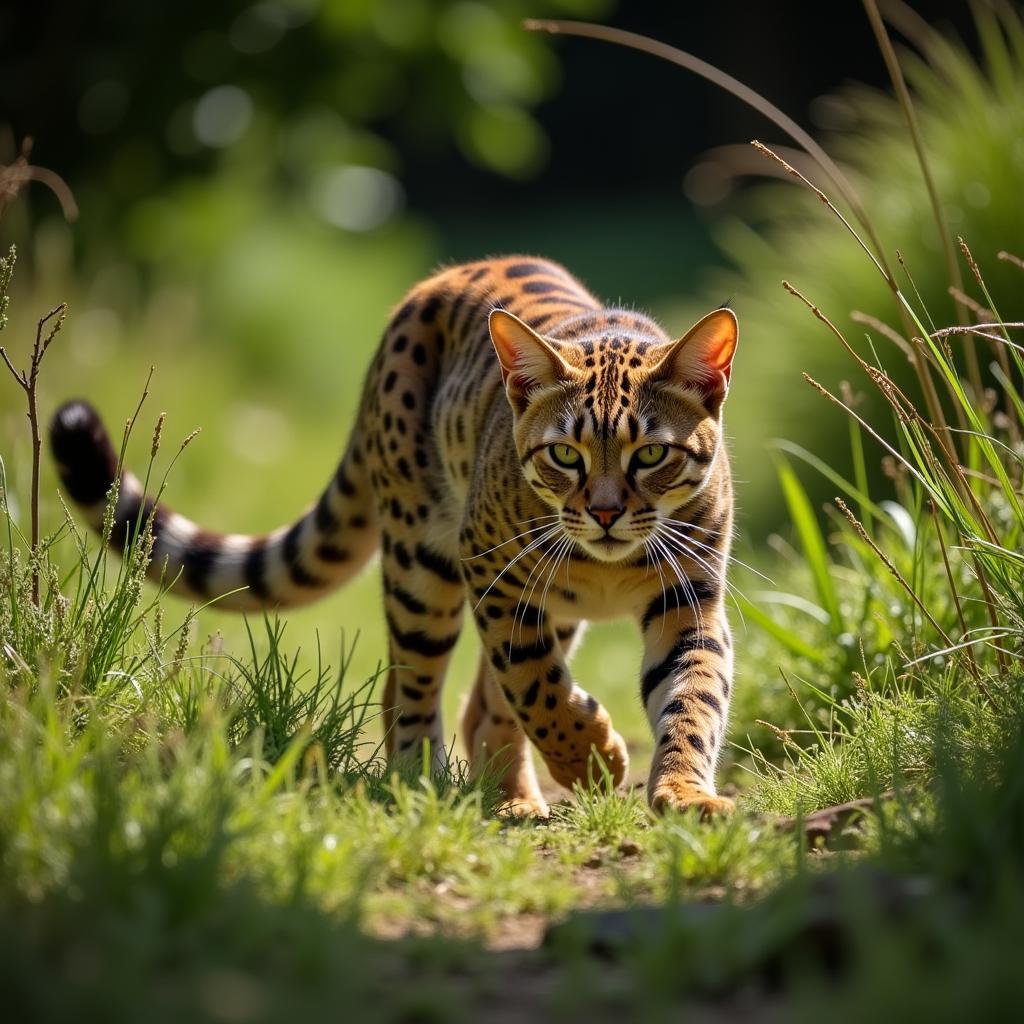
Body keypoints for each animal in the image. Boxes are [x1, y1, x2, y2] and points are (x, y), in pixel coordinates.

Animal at [51, 260, 737, 819]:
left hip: (534, 603)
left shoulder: (688, 598)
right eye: (566, 454)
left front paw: (685, 794)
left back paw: (511, 799)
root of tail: (429, 285)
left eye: (651, 454)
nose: (604, 513)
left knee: (482, 703)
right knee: (411, 688)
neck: (607, 566)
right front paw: (594, 760)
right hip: (422, 569)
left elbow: (692, 697)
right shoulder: (491, 571)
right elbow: (535, 685)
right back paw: (422, 781)